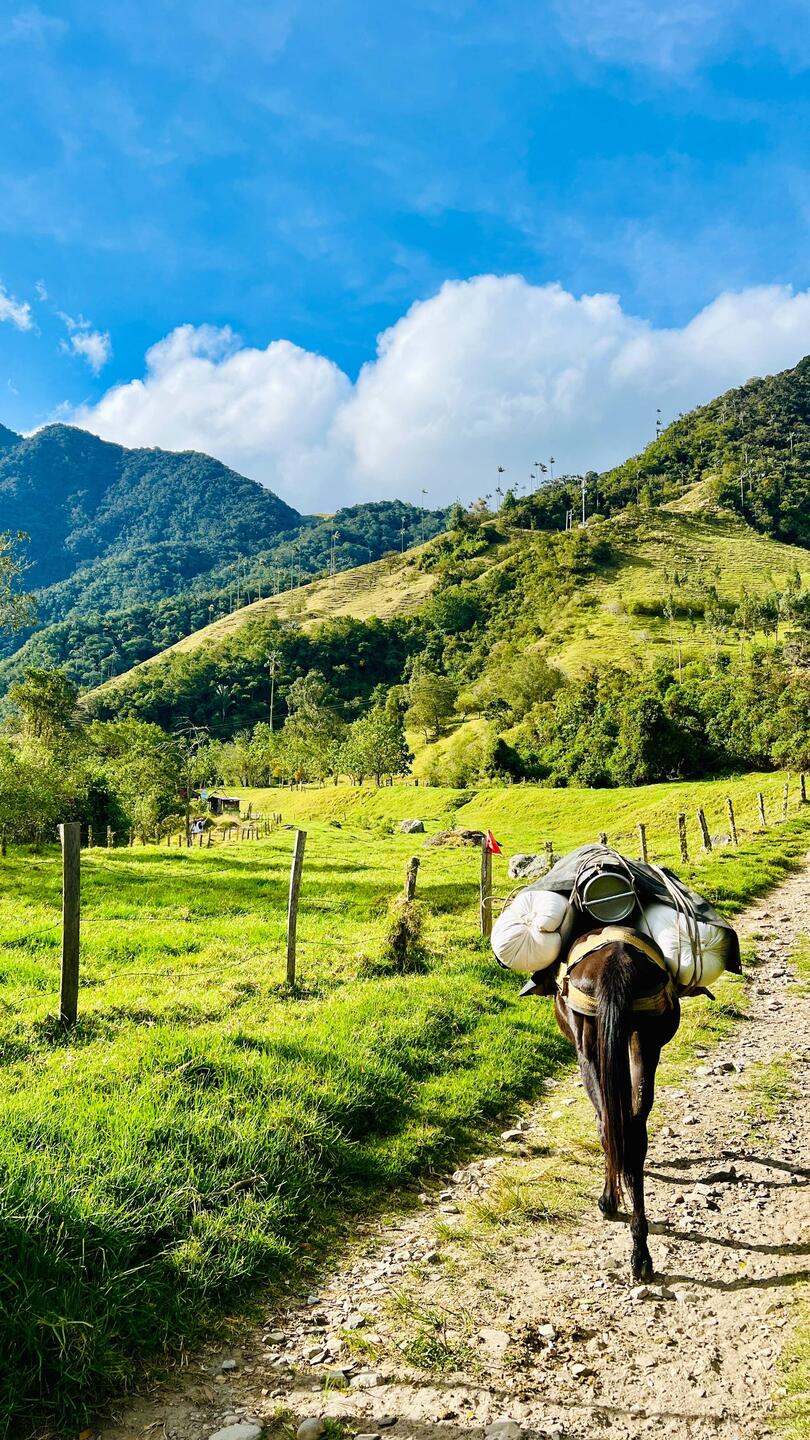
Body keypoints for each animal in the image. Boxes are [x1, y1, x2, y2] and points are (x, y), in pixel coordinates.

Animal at [552, 926, 681, 1280]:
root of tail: (616, 961)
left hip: (590, 1048)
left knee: (607, 1122)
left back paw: (609, 1202)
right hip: (645, 1042)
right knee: (634, 1129)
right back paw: (641, 1254)